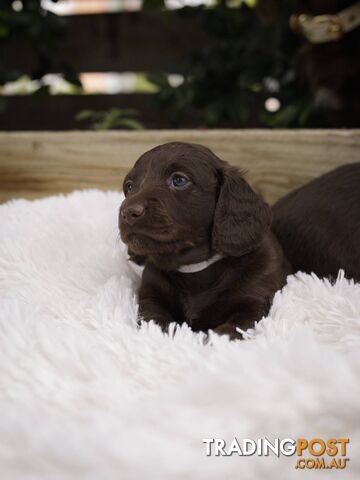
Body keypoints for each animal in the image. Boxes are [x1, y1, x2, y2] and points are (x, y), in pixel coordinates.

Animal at [118, 141, 290, 340]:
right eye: (129, 187)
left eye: (179, 180)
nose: (127, 213)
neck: (193, 269)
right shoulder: (151, 295)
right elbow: (153, 318)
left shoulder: (254, 301)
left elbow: (234, 327)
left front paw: (215, 340)